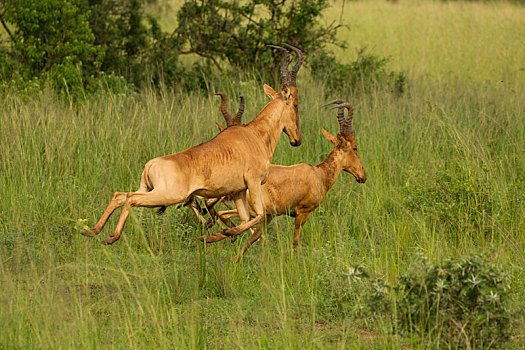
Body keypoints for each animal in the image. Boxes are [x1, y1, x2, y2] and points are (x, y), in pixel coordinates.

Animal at [81, 43, 302, 245]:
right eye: (295, 104)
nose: (297, 140)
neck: (253, 134)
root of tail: (151, 164)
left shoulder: (238, 190)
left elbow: (246, 219)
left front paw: (215, 235)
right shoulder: (254, 182)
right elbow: (258, 216)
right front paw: (219, 234)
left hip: (147, 188)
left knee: (120, 195)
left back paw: (94, 231)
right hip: (167, 195)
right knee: (130, 199)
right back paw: (111, 236)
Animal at [203, 99, 366, 260]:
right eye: (355, 147)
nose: (363, 177)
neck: (318, 174)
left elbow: (256, 236)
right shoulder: (302, 213)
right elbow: (294, 241)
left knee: (226, 216)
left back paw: (214, 236)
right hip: (257, 211)